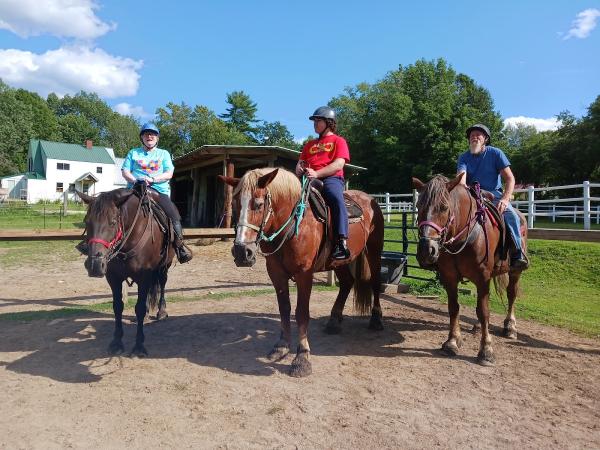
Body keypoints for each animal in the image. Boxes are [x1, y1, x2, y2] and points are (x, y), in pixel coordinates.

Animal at [77, 186, 173, 356]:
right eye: (86, 222)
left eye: (113, 222)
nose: (95, 265)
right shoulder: (113, 277)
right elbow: (118, 307)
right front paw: (116, 343)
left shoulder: (144, 276)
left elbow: (139, 308)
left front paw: (139, 345)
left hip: (164, 267)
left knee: (162, 284)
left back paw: (161, 311)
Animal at [220, 167, 384, 378]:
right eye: (234, 204)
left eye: (258, 204)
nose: (242, 252)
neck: (293, 225)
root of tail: (369, 199)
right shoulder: (276, 274)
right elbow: (284, 308)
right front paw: (281, 346)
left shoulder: (304, 274)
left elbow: (301, 313)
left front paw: (302, 358)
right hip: (340, 261)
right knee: (347, 283)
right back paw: (334, 320)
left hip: (374, 250)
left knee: (375, 282)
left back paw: (376, 319)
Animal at [414, 174, 528, 368]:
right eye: (418, 206)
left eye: (444, 207)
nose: (426, 250)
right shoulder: (449, 278)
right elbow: (454, 308)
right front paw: (452, 342)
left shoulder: (483, 278)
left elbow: (484, 311)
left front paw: (486, 350)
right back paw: (478, 327)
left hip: (515, 272)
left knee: (511, 294)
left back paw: (510, 326)